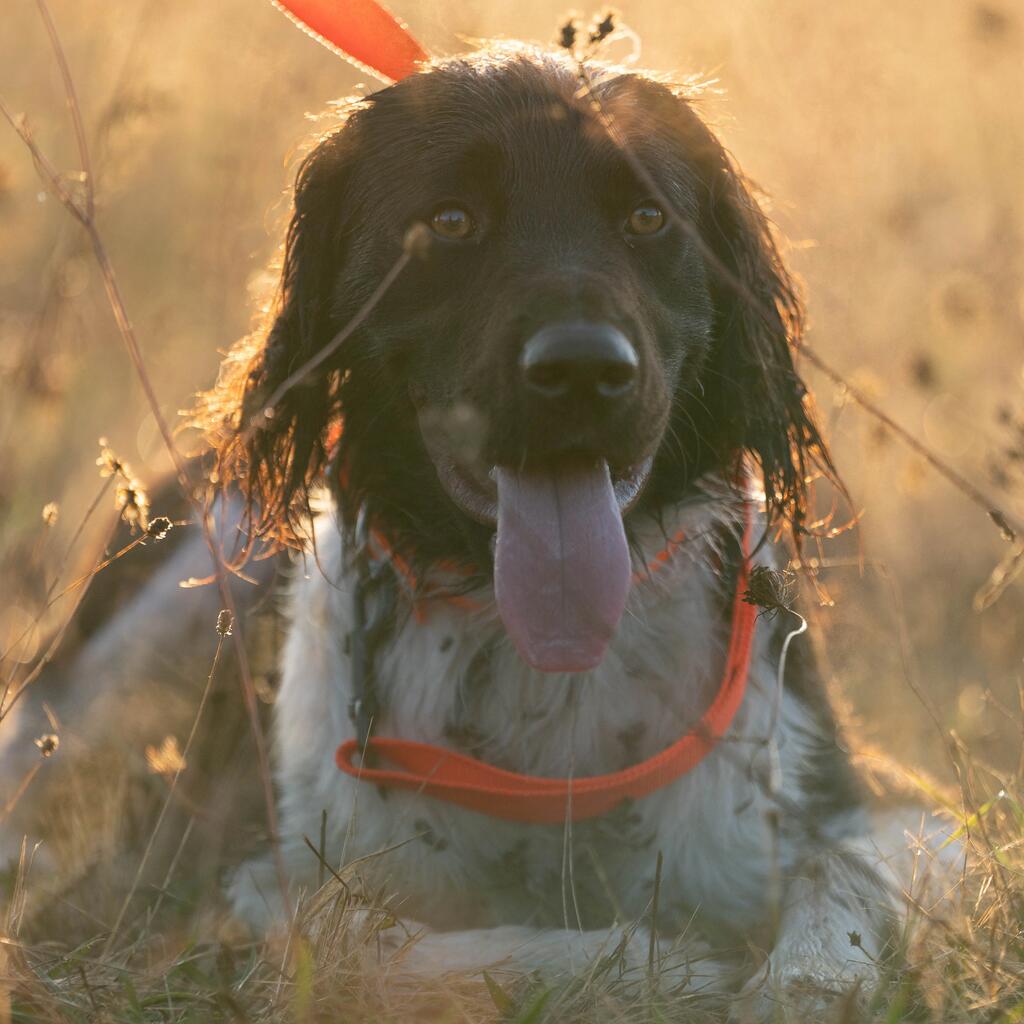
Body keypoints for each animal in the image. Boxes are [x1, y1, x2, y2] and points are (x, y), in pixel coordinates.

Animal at [6, 39, 950, 1015]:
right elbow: (367, 944)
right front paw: (665, 973)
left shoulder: (873, 805)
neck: (541, 668)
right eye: (452, 221)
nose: (583, 370)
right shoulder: (238, 879)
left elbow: (842, 878)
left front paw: (801, 983)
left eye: (648, 216)